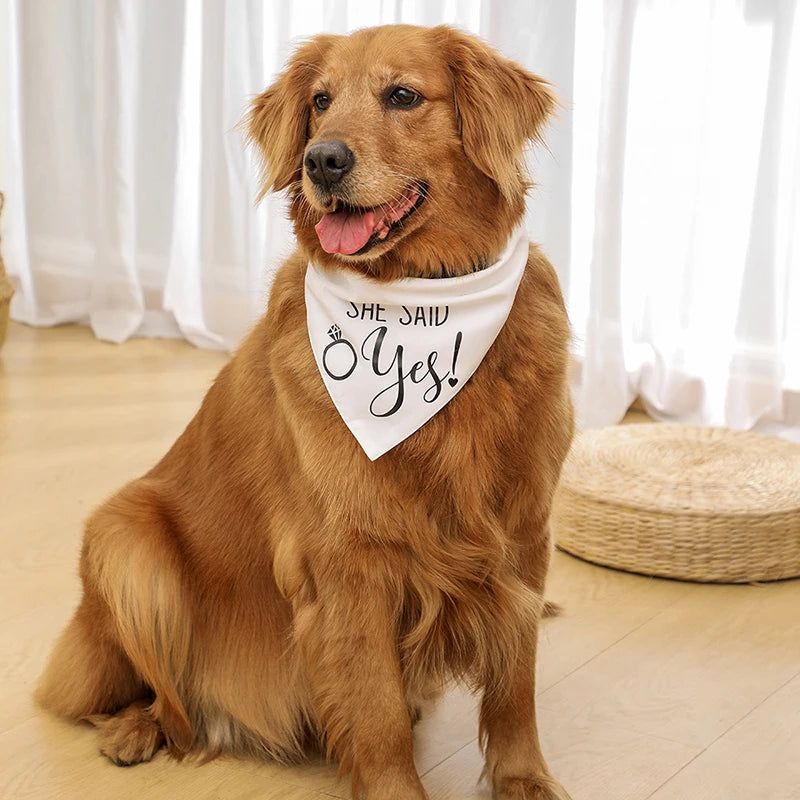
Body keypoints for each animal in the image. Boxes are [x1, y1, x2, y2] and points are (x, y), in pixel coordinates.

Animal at [37, 21, 576, 796]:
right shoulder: (348, 562)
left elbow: (515, 682)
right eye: (320, 101)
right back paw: (136, 729)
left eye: (402, 95)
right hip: (125, 537)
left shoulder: (525, 534)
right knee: (145, 695)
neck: (421, 304)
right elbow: (377, 714)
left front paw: (524, 779)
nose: (322, 160)